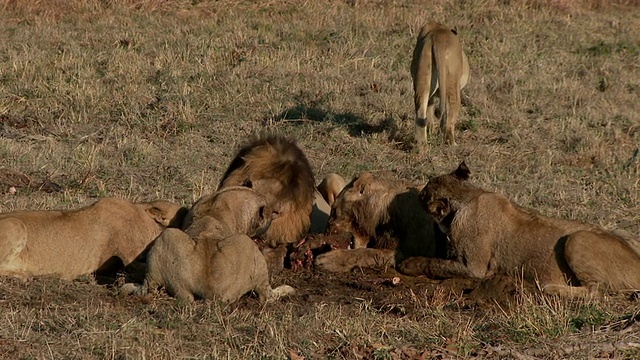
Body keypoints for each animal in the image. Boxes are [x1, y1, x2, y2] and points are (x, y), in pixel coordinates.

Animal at [400, 162, 640, 298]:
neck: (468, 196)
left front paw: (409, 264)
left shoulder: (476, 268)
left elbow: (436, 264)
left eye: (424, 194)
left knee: (596, 293)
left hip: (577, 239)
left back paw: (551, 289)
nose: (417, 191)